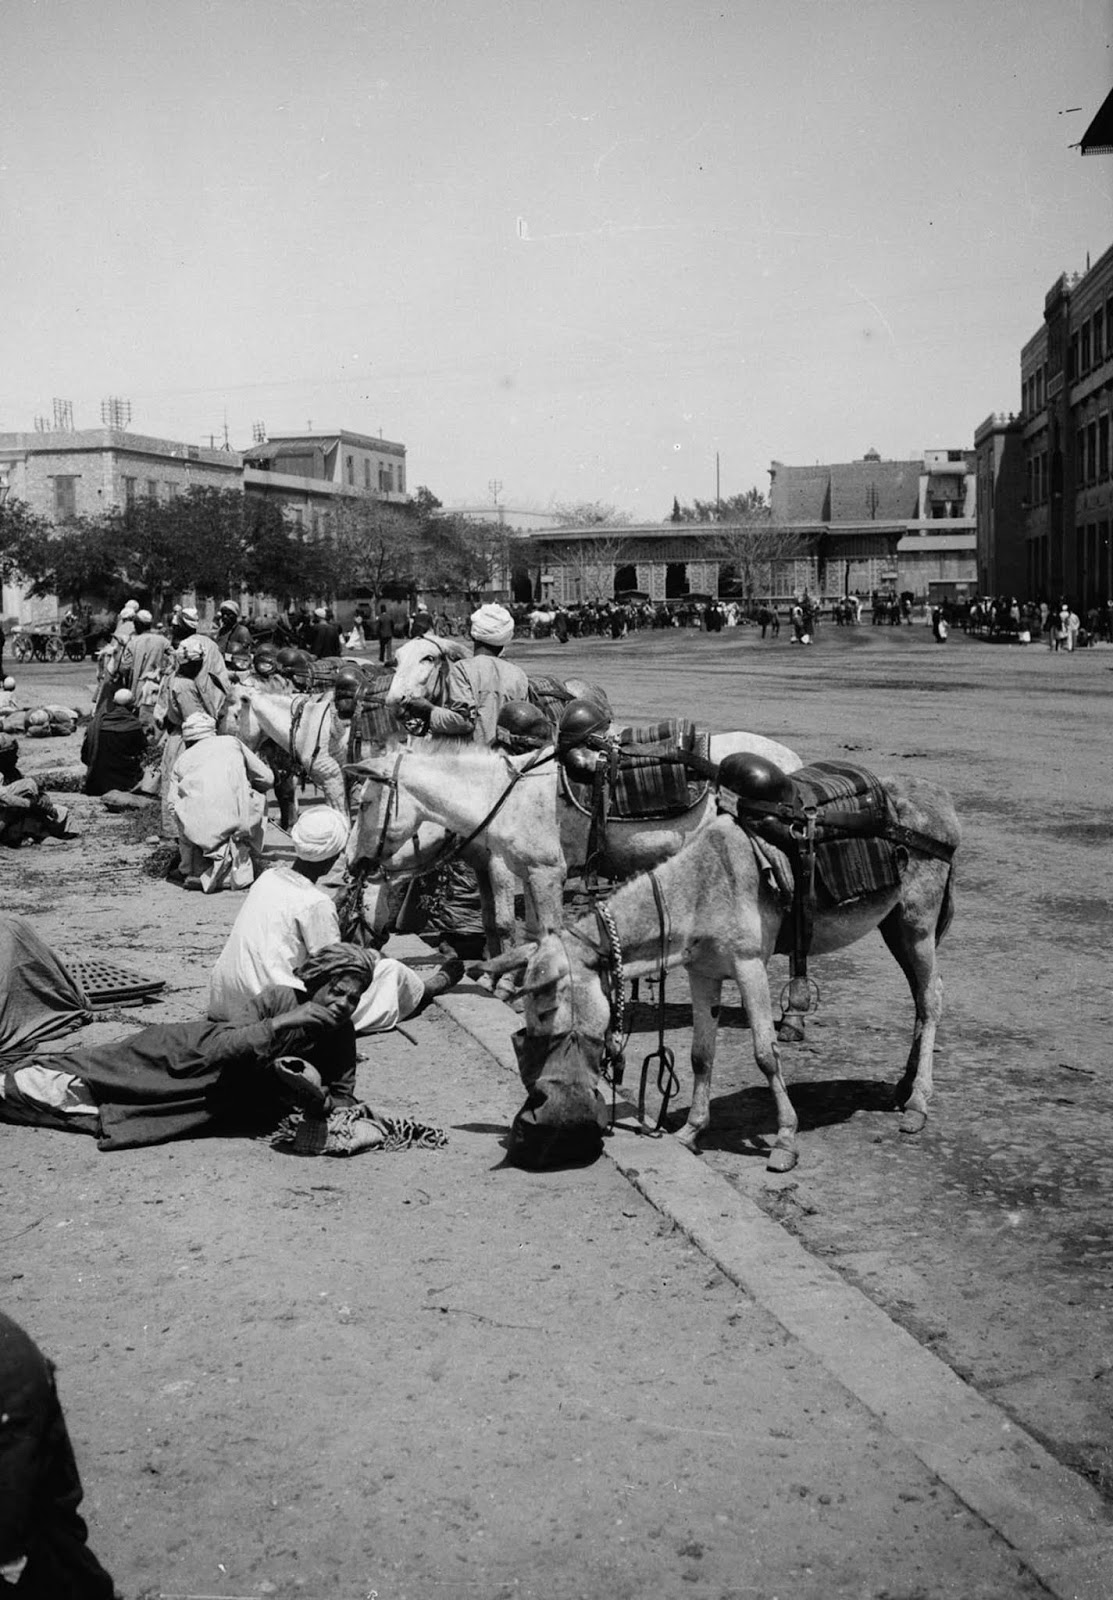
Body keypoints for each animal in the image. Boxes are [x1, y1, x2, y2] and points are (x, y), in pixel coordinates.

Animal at [482, 774, 959, 1177]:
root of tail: (936, 796)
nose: (540, 1094)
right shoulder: (703, 973)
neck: (697, 890)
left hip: (917, 923)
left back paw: (918, 1104)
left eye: (545, 1010)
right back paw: (902, 1089)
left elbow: (766, 1054)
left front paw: (785, 1141)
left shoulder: (750, 967)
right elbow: (700, 1055)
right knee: (919, 1001)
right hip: (893, 925)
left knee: (932, 998)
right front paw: (690, 1132)